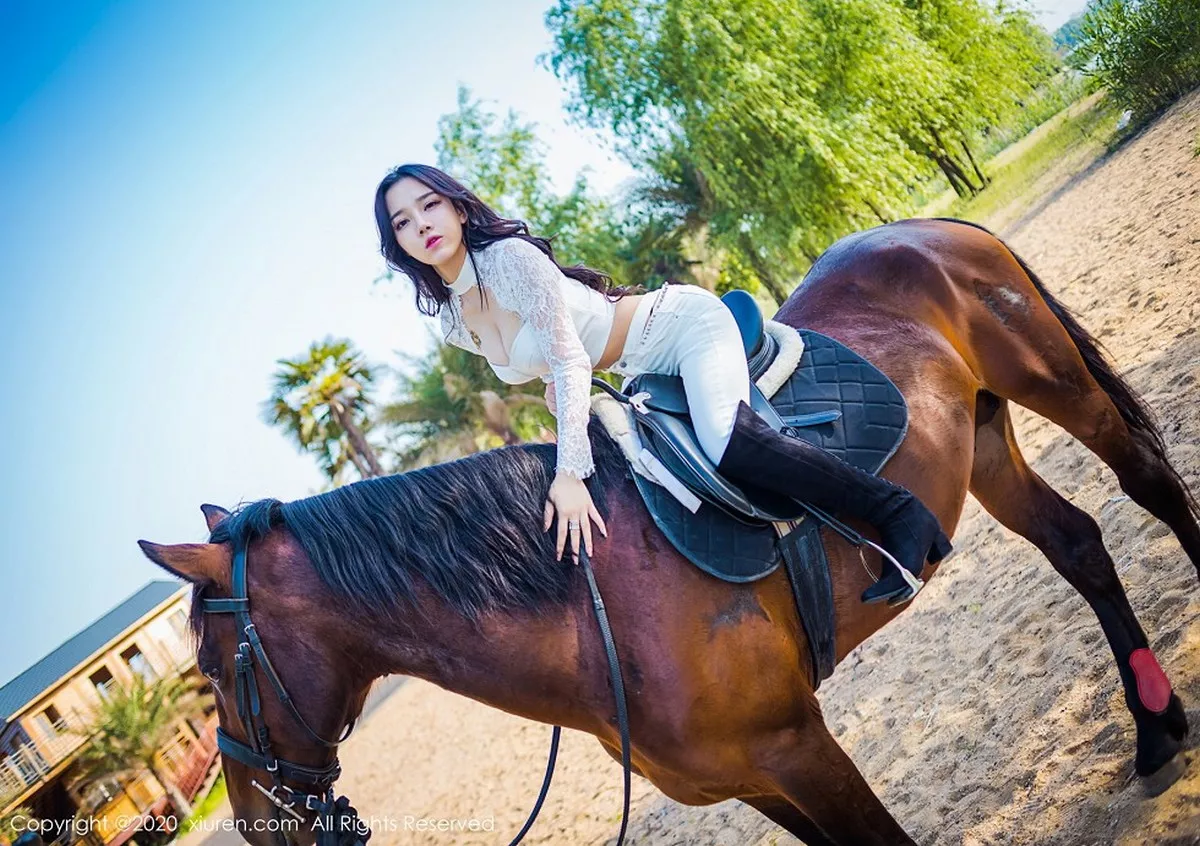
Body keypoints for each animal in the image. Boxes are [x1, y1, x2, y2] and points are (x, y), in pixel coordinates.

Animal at [142, 219, 1200, 844]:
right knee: (1078, 544)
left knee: (1148, 485)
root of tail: (929, 229)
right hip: (981, 437)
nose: (256, 821)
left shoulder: (799, 748)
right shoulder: (756, 780)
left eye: (210, 668)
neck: (591, 611)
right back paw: (1155, 734)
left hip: (1052, 380)